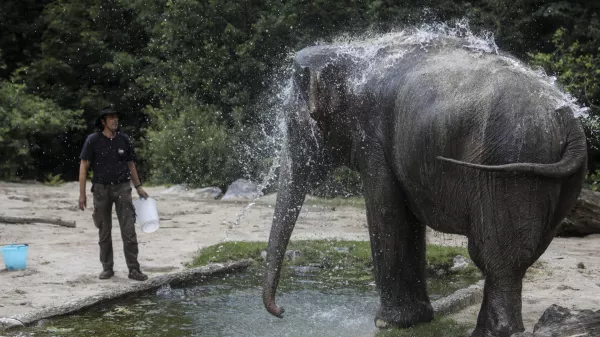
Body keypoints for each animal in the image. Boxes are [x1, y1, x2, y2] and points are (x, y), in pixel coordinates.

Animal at [262, 33, 584, 336]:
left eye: (294, 122)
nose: (281, 311)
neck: (353, 54)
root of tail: (569, 120)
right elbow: (407, 220)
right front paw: (416, 320)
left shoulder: (373, 139)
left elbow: (386, 213)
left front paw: (389, 323)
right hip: (558, 178)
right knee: (521, 255)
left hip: (509, 163)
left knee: (494, 256)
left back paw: (492, 332)